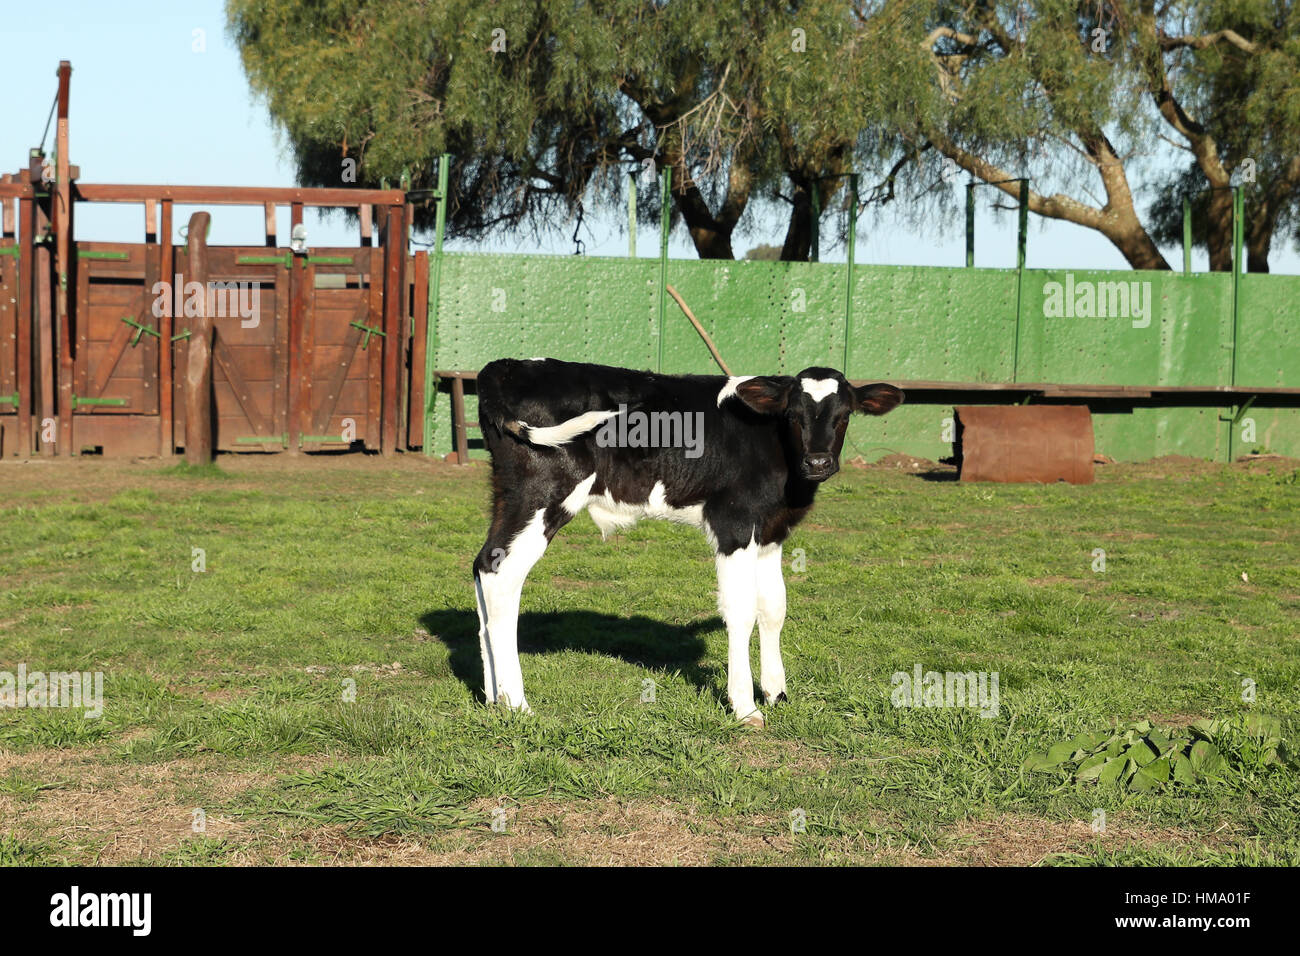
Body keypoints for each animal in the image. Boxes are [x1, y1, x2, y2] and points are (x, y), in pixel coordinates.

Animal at [472, 358, 903, 727]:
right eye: (793, 416)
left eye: (844, 416)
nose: (817, 463)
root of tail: (504, 368)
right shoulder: (734, 524)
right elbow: (742, 610)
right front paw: (744, 706)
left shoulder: (771, 531)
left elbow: (774, 608)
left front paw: (776, 693)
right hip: (542, 496)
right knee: (503, 577)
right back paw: (518, 703)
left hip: (510, 496)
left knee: (483, 564)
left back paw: (494, 699)